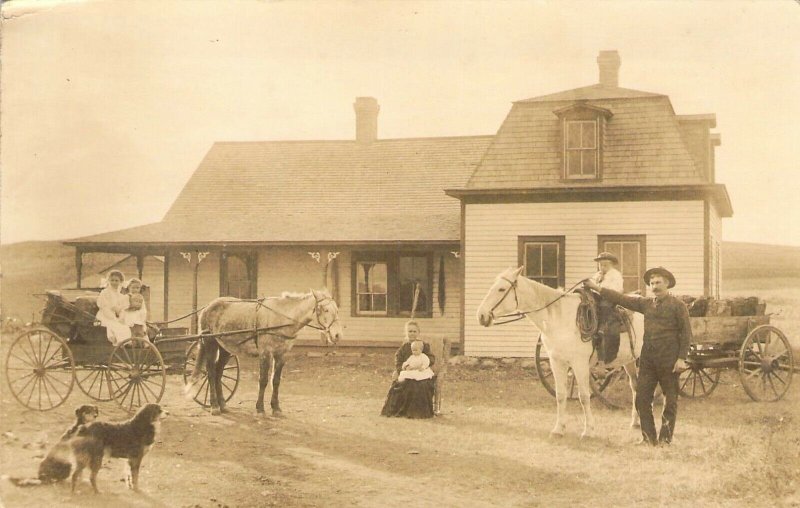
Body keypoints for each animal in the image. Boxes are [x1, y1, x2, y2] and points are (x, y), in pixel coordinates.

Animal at [188, 290, 344, 416]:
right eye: (325, 310)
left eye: (337, 310)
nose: (337, 335)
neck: (280, 318)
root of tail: (208, 306)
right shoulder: (265, 353)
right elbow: (263, 380)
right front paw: (260, 409)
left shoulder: (281, 354)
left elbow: (276, 381)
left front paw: (276, 408)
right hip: (210, 343)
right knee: (211, 372)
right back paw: (214, 406)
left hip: (225, 348)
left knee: (218, 372)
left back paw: (222, 404)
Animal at [478, 268, 640, 438]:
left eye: (501, 289)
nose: (481, 315)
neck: (561, 319)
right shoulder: (556, 362)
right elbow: (561, 395)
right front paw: (558, 429)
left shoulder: (580, 364)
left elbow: (584, 397)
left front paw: (588, 431)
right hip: (630, 361)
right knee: (635, 387)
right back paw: (635, 422)